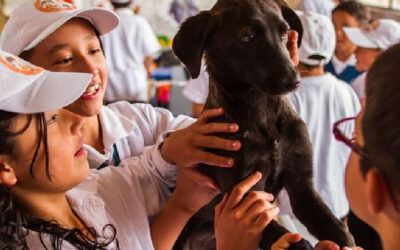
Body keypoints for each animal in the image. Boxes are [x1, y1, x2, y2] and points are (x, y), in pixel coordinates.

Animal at [173, 0, 354, 249]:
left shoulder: (302, 187)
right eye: (248, 37)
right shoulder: (244, 194)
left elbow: (337, 228)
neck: (261, 109)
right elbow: (282, 235)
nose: (294, 80)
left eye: (284, 32)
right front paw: (299, 243)